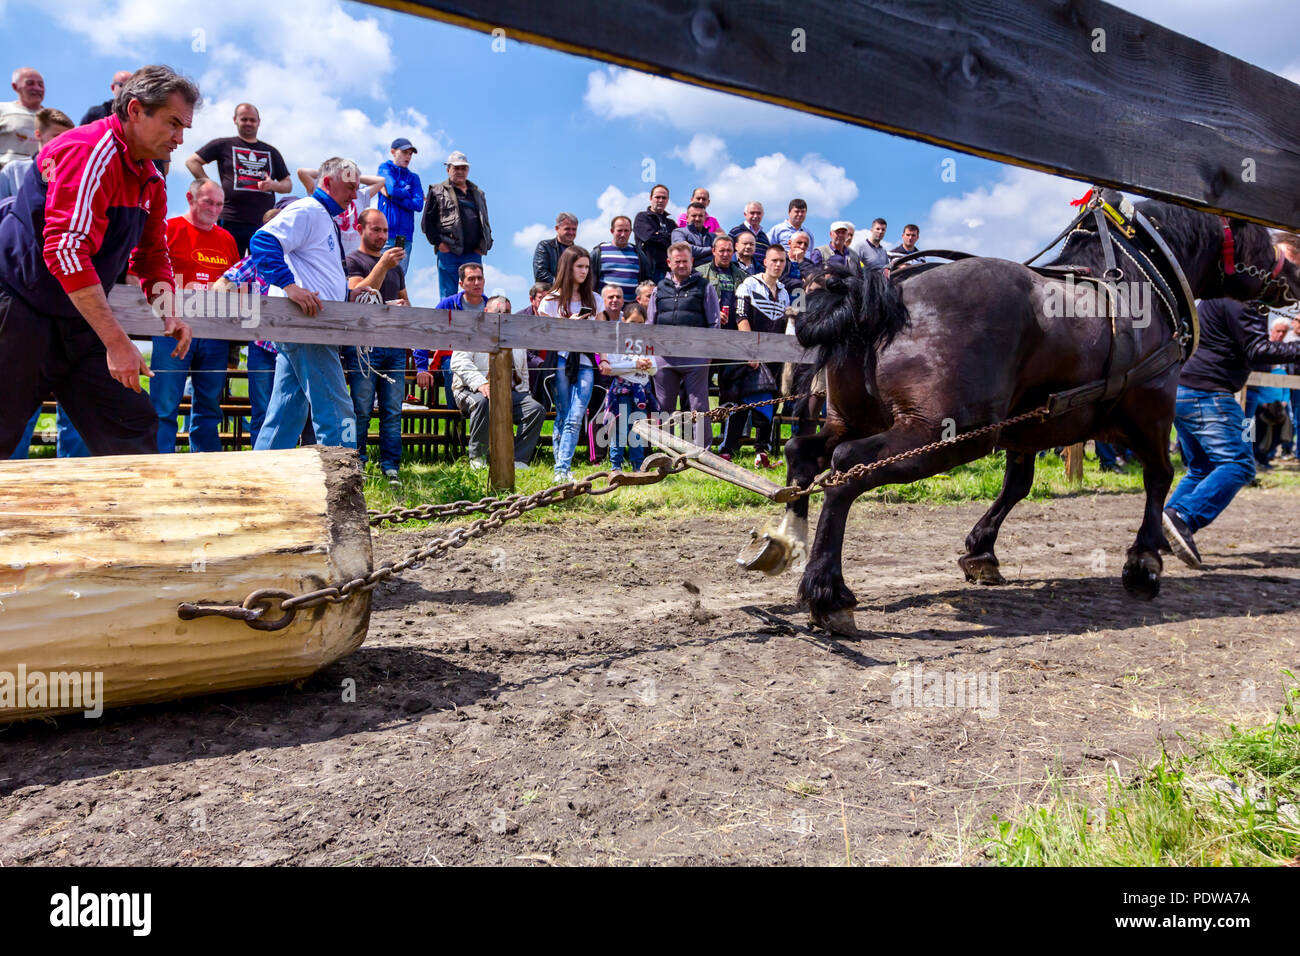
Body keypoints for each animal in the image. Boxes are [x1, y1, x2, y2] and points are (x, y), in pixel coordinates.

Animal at [759, 196, 1300, 634]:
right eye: (1262, 237)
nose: (1293, 279)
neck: (1140, 287)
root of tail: (886, 289)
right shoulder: (1151, 410)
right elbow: (1159, 477)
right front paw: (1145, 562)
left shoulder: (1027, 428)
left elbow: (1017, 485)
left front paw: (982, 551)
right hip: (947, 434)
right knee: (846, 468)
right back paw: (827, 593)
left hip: (858, 418)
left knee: (803, 451)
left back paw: (787, 544)